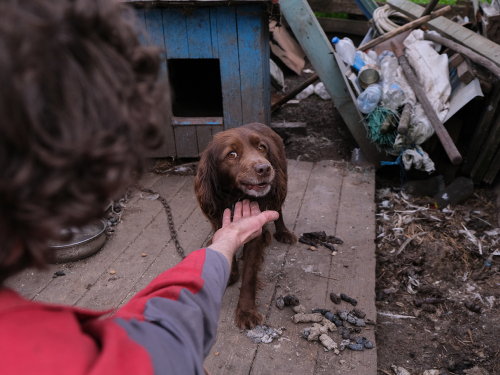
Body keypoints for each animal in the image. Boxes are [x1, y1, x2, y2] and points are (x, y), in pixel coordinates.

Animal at [195, 123, 296, 328]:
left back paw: (282, 232)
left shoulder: (254, 226)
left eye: (261, 148)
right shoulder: (220, 219)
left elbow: (249, 272)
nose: (265, 168)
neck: (236, 196)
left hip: (281, 182)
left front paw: (246, 310)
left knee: (278, 209)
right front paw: (230, 273)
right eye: (231, 154)